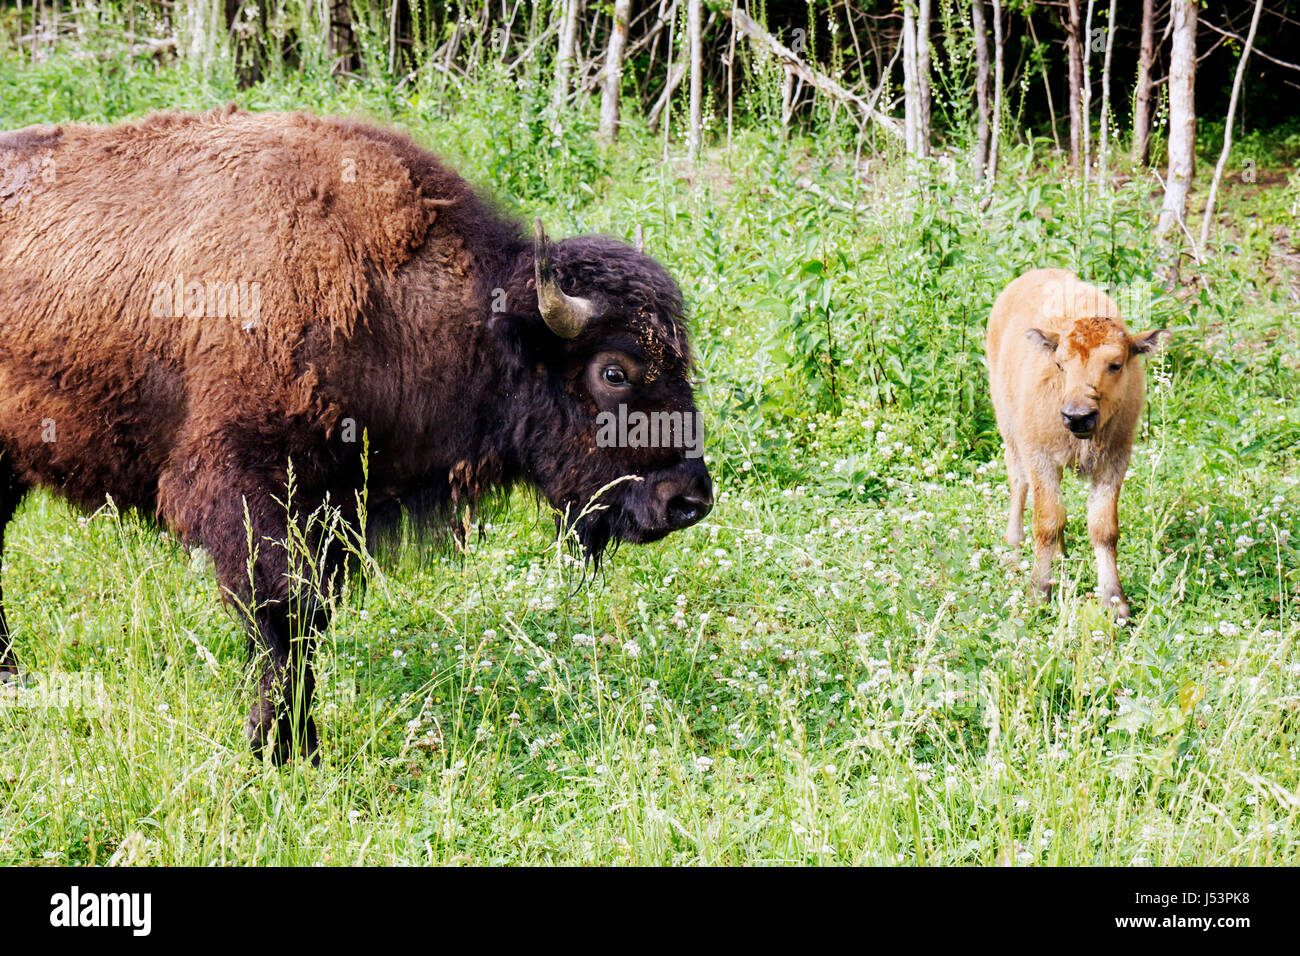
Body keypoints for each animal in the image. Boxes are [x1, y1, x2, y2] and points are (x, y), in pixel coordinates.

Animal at [0, 106, 712, 764]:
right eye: (613, 371)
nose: (688, 501)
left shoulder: (334, 505)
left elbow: (311, 621)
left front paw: (292, 744)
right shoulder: (248, 491)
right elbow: (286, 613)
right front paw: (283, 749)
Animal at [982, 269, 1170, 621]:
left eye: (1116, 364)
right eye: (1060, 364)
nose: (1077, 416)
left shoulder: (1114, 461)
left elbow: (1102, 527)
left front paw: (1115, 603)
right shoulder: (1039, 455)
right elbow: (1047, 520)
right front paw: (1038, 594)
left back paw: (1060, 555)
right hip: (1008, 426)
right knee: (1019, 482)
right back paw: (1013, 546)